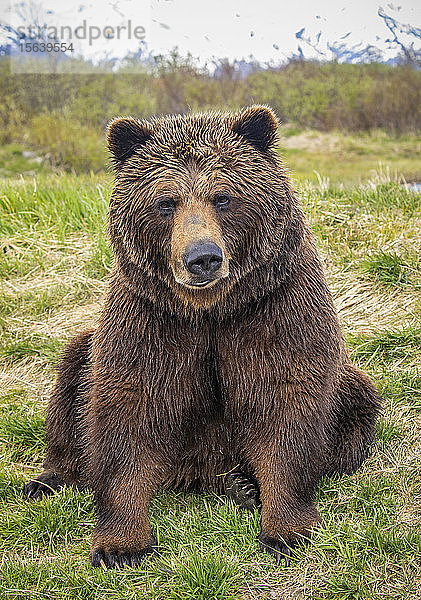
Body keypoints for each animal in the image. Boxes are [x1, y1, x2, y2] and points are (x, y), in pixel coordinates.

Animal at [24, 105, 378, 568]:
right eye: (165, 202)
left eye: (223, 197)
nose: (203, 258)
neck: (209, 309)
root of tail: (197, 473)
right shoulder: (154, 323)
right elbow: (128, 407)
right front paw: (121, 544)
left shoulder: (274, 311)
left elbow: (288, 402)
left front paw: (287, 530)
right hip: (90, 350)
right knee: (71, 381)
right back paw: (48, 478)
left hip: (347, 386)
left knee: (357, 405)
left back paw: (244, 484)